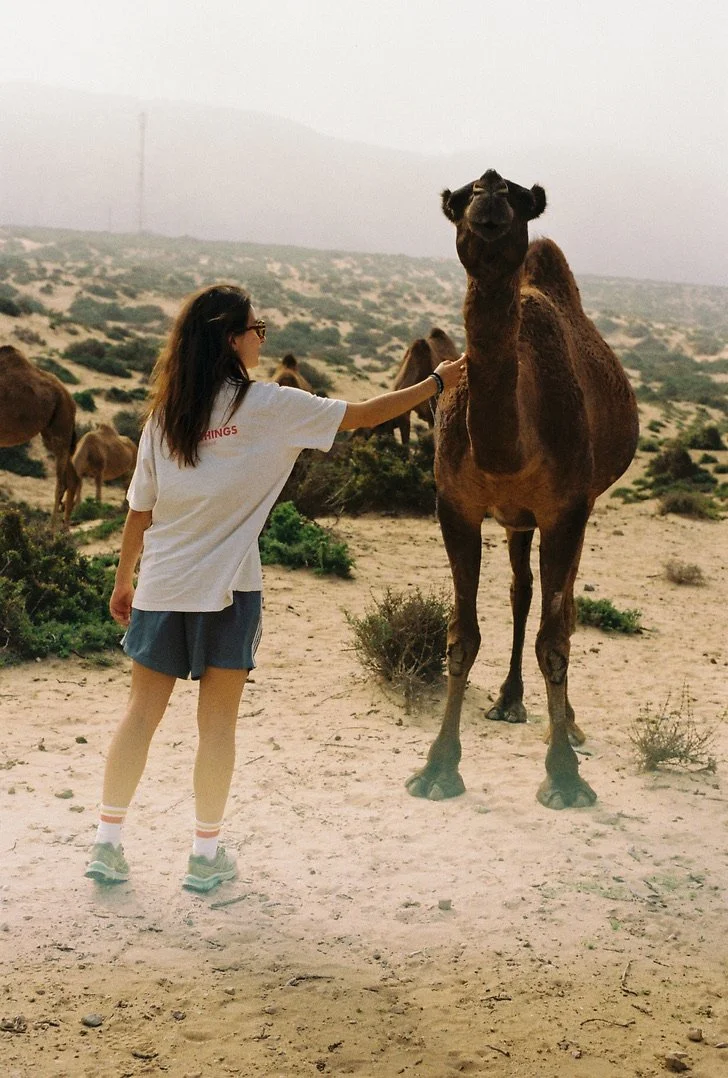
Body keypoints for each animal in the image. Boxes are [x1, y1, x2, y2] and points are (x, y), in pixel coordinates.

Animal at [0, 345, 77, 528]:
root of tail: (70, 399)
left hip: (61, 426)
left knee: (61, 482)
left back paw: (50, 531)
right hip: (51, 433)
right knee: (72, 479)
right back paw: (64, 530)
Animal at [406, 169, 639, 810]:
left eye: (516, 195)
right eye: (462, 197)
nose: (488, 203)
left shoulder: (566, 508)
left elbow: (555, 641)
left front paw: (564, 778)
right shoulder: (455, 505)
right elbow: (461, 635)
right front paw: (437, 769)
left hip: (574, 506)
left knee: (563, 607)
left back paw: (572, 726)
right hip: (515, 518)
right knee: (520, 589)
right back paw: (509, 700)